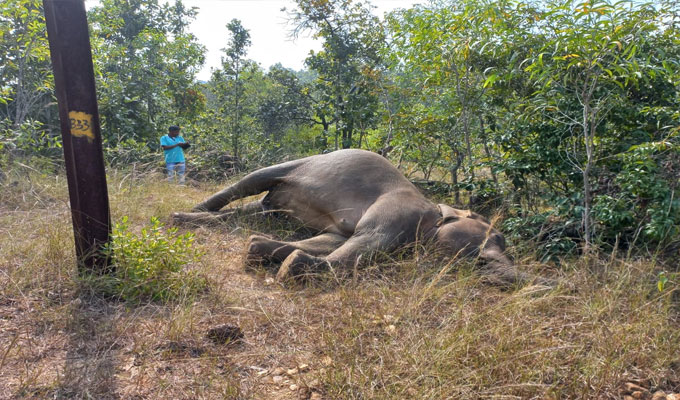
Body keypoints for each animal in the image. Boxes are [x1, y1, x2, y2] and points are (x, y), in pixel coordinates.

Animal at [173, 149, 552, 286]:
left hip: (274, 207)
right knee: (250, 181)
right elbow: (361, 245)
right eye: (498, 237)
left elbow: (332, 241)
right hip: (297, 164)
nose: (545, 283)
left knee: (253, 212)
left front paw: (258, 248)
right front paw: (292, 264)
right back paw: (184, 213)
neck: (435, 213)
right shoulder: (397, 212)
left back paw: (190, 219)